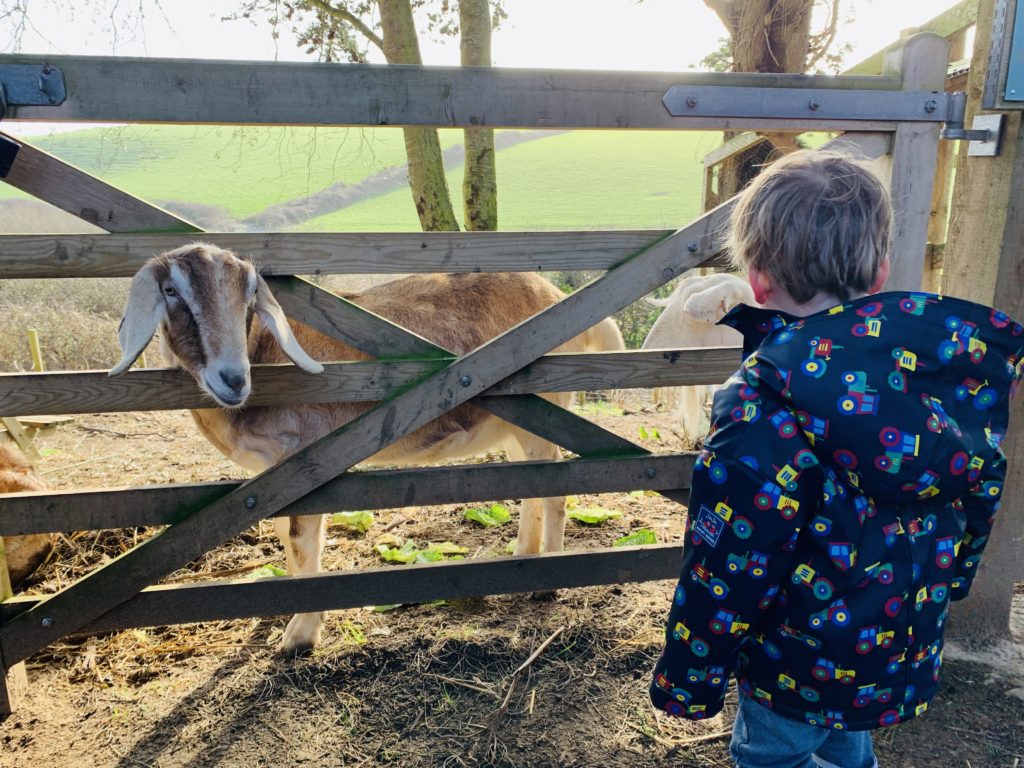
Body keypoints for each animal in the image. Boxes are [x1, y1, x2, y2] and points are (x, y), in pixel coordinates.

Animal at [110, 244, 622, 655]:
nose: (232, 378)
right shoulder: (269, 478)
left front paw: (299, 637)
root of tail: (558, 297)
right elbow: (286, 540)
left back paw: (546, 583)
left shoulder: (305, 461)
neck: (265, 352)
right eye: (171, 291)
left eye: (249, 295)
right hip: (516, 424)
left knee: (557, 489)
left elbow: (302, 542)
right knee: (533, 483)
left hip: (548, 410)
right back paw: (524, 558)